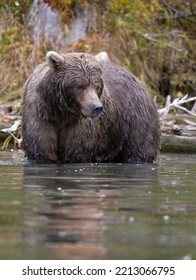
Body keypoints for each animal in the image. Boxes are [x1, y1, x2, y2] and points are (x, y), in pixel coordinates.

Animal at [22, 51, 160, 163]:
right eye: (80, 86)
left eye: (97, 86)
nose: (97, 107)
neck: (62, 114)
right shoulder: (41, 116)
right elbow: (41, 150)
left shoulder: (80, 125)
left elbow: (76, 151)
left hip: (135, 119)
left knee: (139, 150)